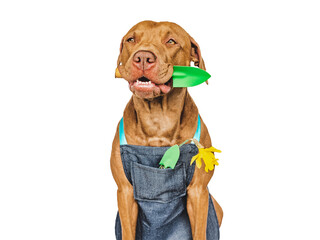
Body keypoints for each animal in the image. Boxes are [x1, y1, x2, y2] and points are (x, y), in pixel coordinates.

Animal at [110, 21, 222, 240]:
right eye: (131, 39)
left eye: (171, 41)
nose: (143, 57)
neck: (158, 118)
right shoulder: (125, 192)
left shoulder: (198, 192)